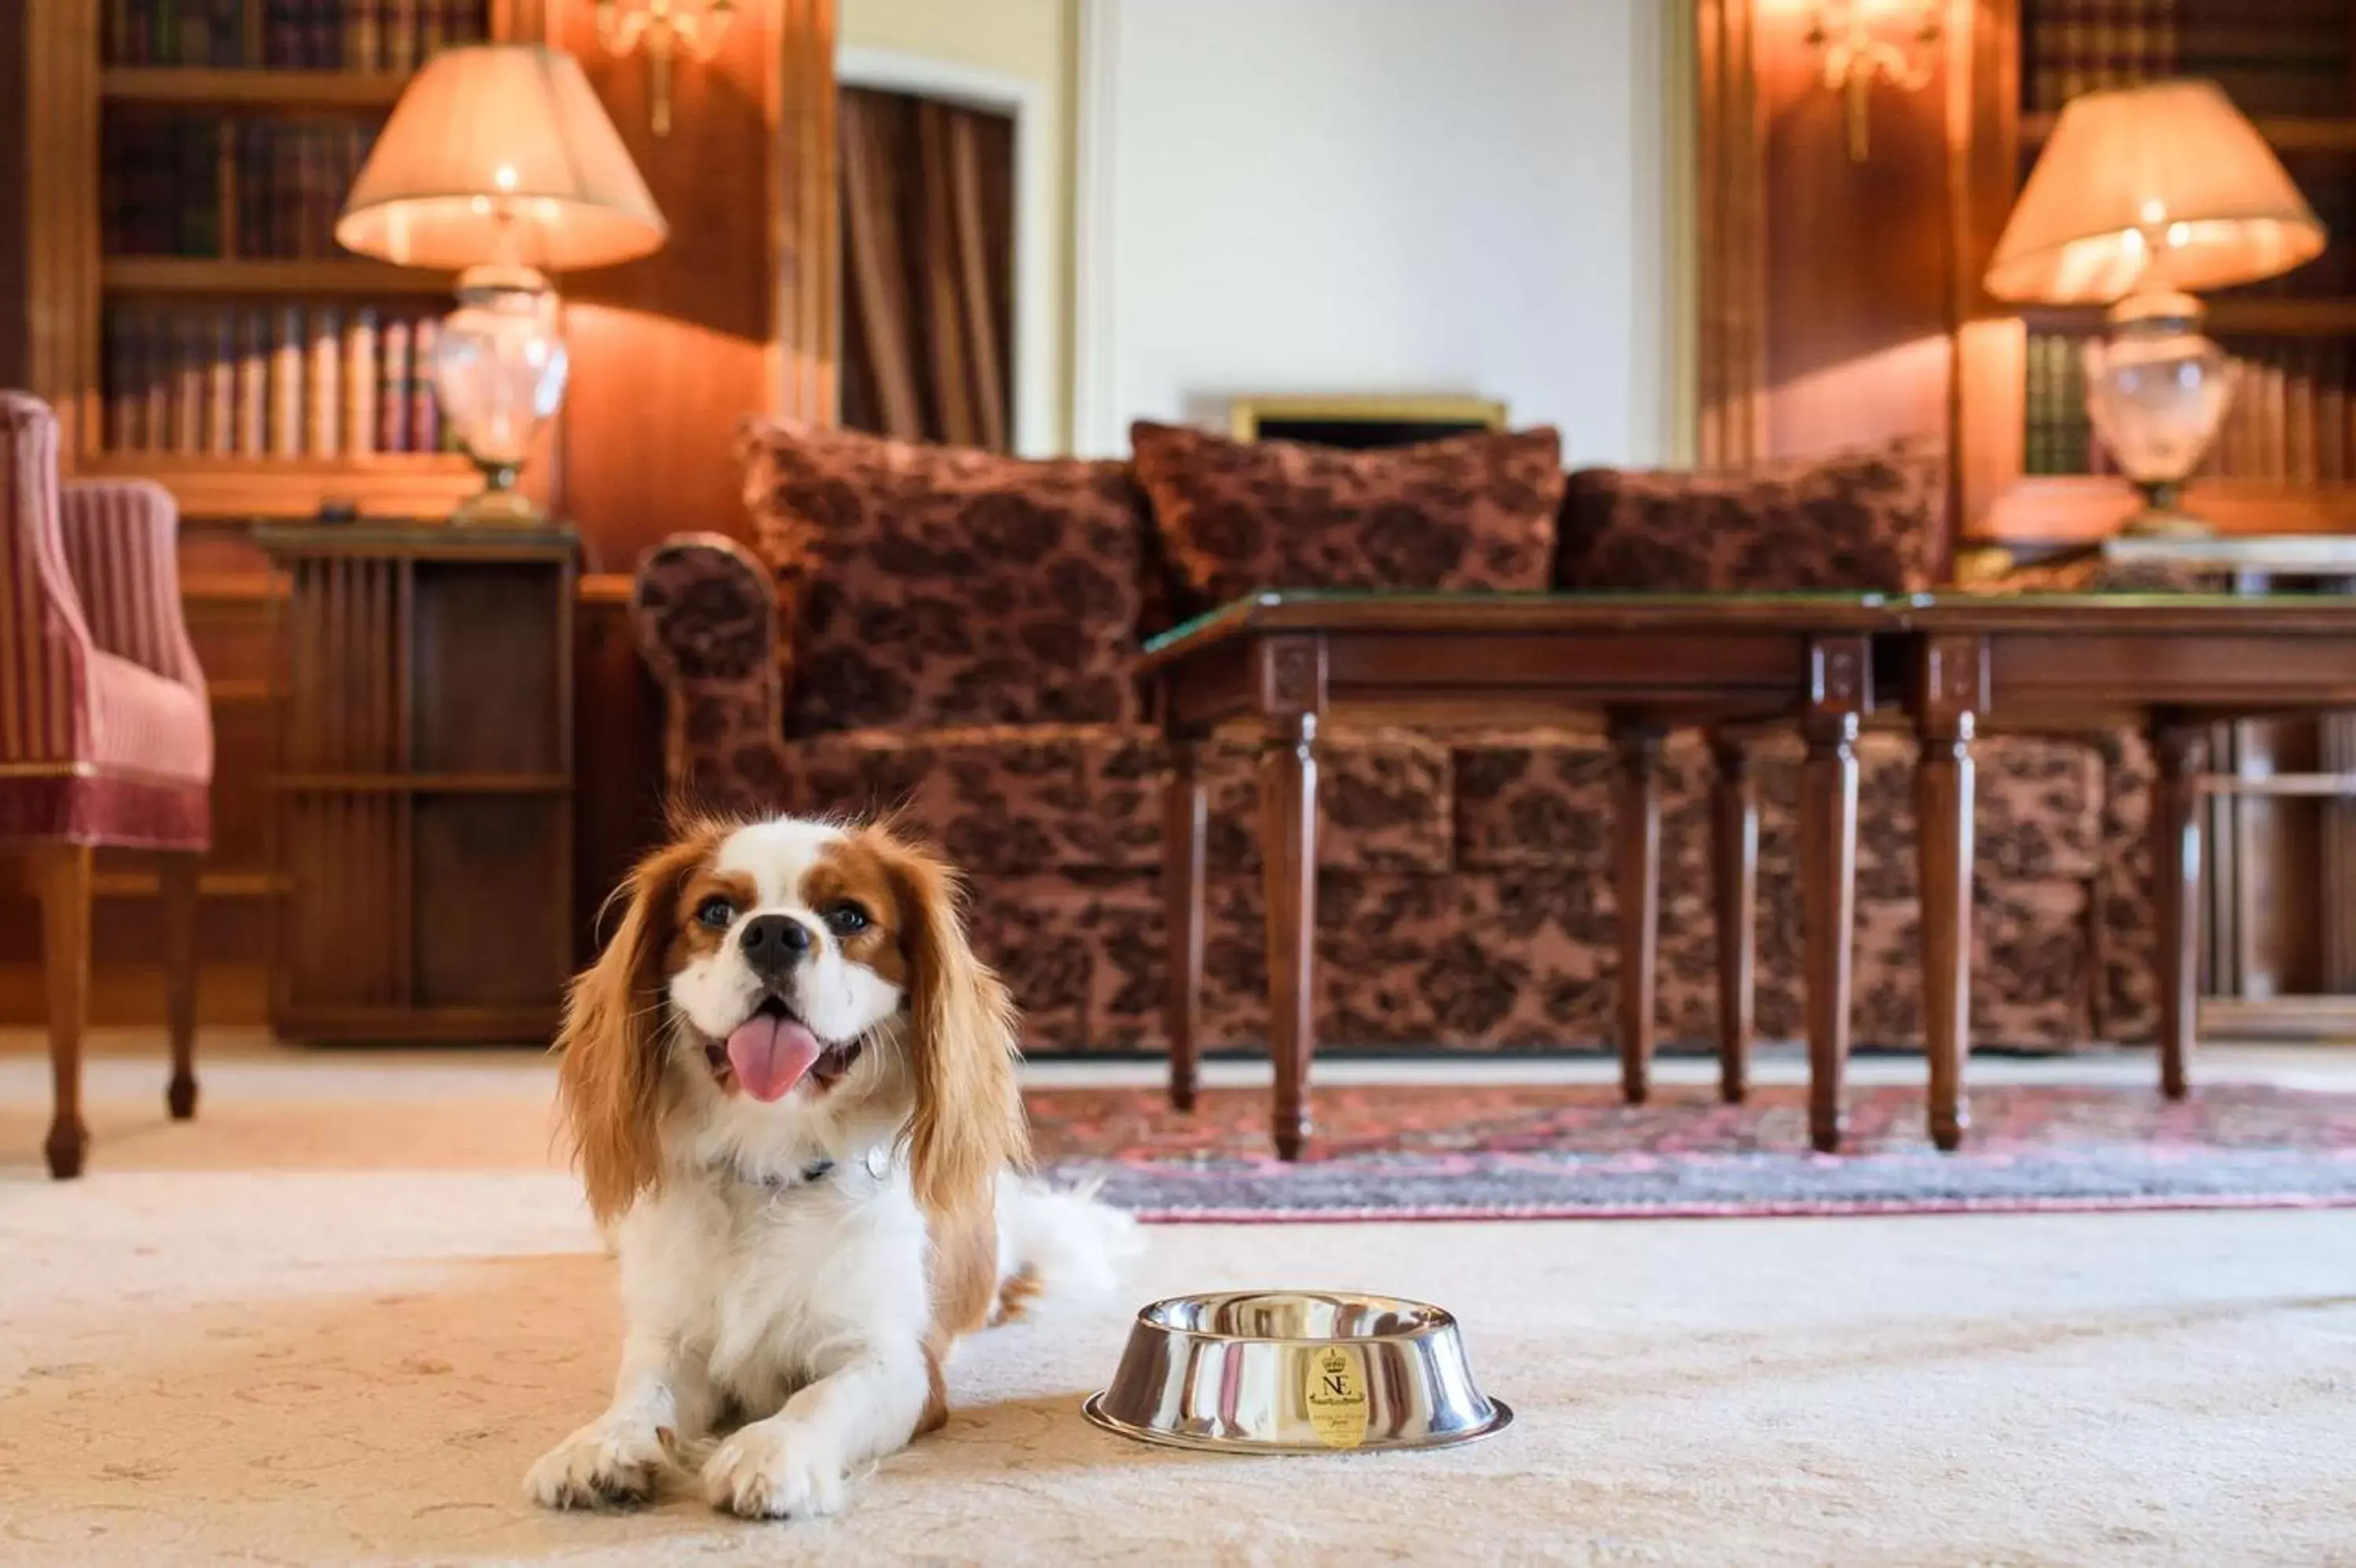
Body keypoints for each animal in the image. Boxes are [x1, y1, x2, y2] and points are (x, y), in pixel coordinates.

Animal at [530, 819, 1136, 1516]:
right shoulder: (671, 1338)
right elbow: (641, 1391)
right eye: (716, 911)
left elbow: (821, 1397)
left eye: (849, 916)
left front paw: (771, 1449)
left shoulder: (901, 1368)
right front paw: (603, 1442)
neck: (773, 1164)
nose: (773, 932)